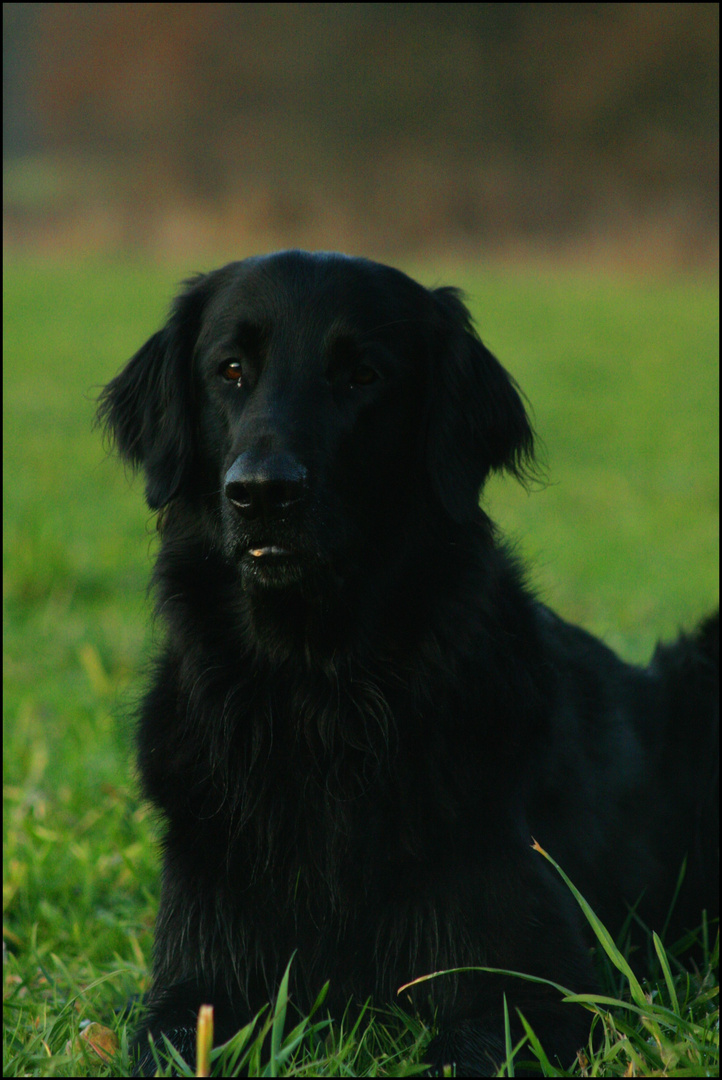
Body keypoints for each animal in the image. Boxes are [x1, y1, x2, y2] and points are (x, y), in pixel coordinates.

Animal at [98, 250, 716, 1071]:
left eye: (363, 375)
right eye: (229, 370)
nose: (262, 493)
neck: (317, 694)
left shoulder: (530, 991)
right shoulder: (196, 978)